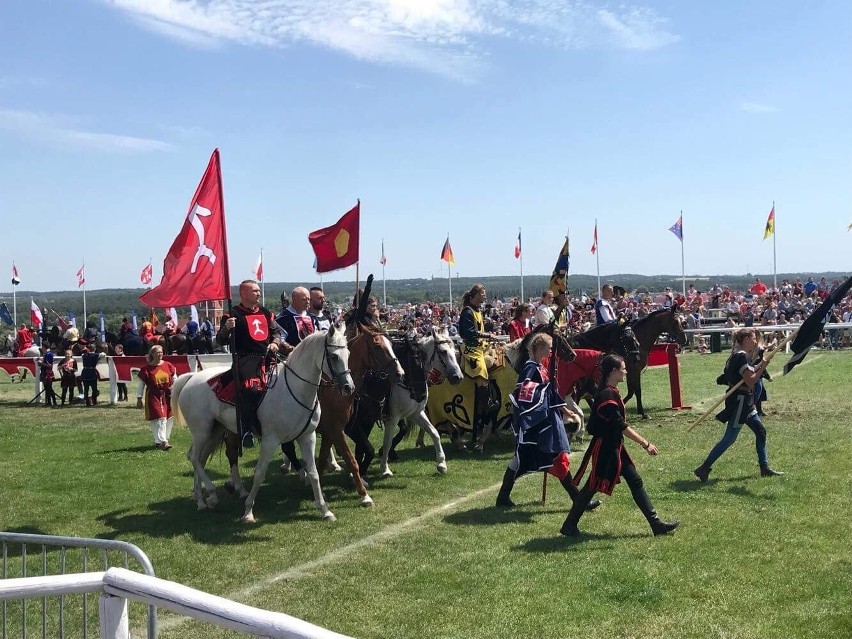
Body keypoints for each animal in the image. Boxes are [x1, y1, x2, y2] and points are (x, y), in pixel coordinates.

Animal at [173, 324, 352, 524]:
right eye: (334, 356)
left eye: (348, 354)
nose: (348, 387)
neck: (294, 389)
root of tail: (191, 378)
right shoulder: (270, 440)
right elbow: (259, 474)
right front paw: (248, 512)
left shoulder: (307, 437)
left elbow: (313, 473)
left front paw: (324, 510)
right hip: (201, 431)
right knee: (194, 457)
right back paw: (210, 494)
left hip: (214, 432)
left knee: (200, 459)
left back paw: (202, 500)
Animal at [380, 328, 462, 478]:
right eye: (443, 351)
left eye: (455, 351)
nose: (458, 377)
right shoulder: (392, 418)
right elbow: (387, 442)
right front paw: (385, 468)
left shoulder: (415, 413)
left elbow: (434, 433)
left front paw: (442, 464)